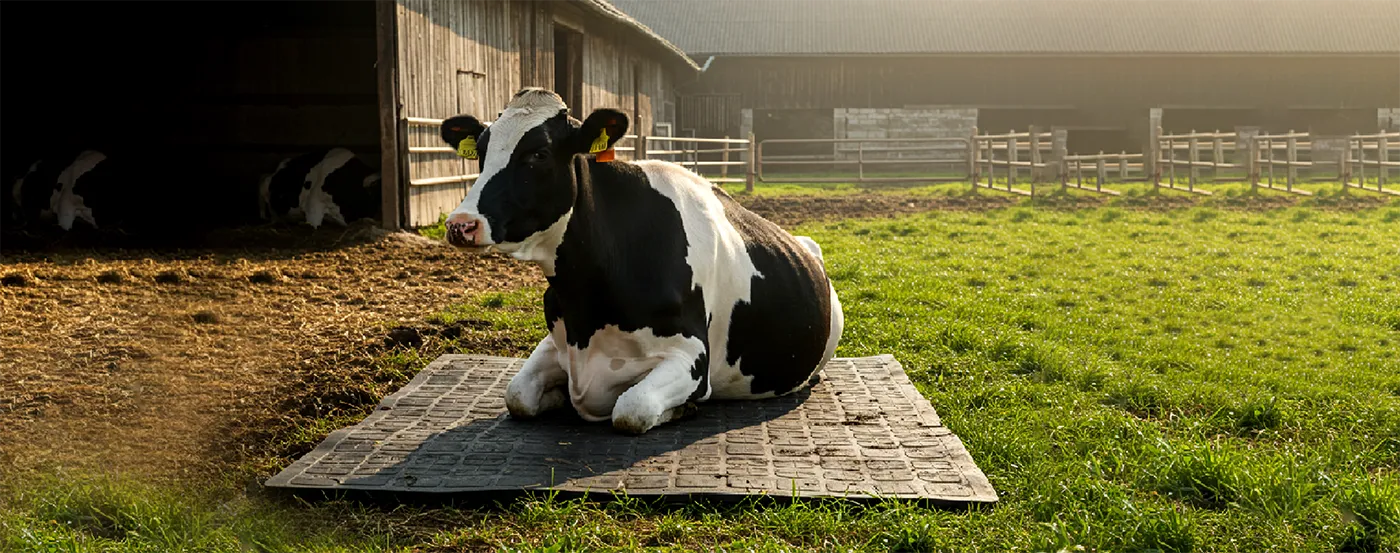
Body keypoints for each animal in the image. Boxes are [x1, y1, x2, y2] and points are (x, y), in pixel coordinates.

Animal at [437, 88, 844, 434]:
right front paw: (555, 397)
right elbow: (517, 395)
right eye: (482, 151)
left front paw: (681, 409)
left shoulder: (692, 357)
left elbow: (631, 409)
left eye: (538, 153)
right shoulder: (556, 343)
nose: (461, 224)